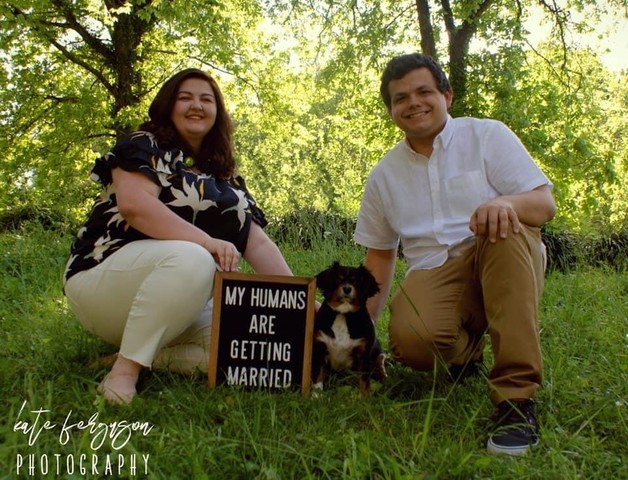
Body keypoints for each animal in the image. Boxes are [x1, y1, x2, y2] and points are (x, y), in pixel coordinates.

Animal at [311, 262, 387, 396]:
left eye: (356, 281)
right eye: (338, 279)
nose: (347, 288)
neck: (343, 313)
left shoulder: (363, 353)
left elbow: (364, 380)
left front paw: (364, 397)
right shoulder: (320, 346)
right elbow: (318, 374)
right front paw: (316, 395)